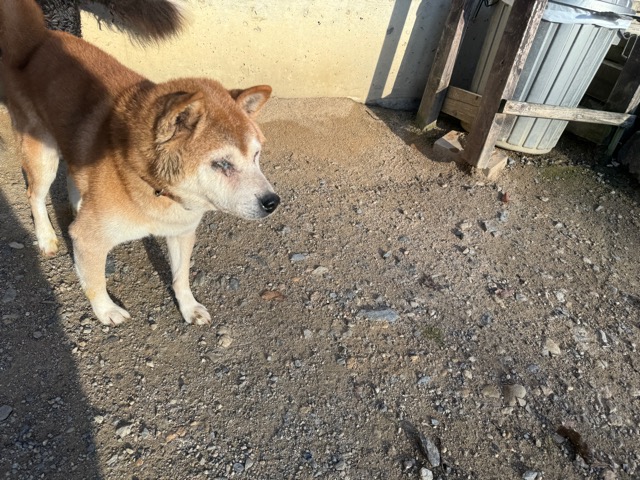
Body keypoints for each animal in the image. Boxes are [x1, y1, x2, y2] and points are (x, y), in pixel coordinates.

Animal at [0, 0, 280, 326]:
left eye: (256, 155)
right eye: (222, 164)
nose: (272, 202)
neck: (152, 186)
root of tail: (38, 41)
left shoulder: (181, 231)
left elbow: (181, 277)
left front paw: (189, 307)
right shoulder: (87, 239)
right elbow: (95, 280)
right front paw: (106, 310)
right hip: (42, 155)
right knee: (35, 195)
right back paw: (46, 237)